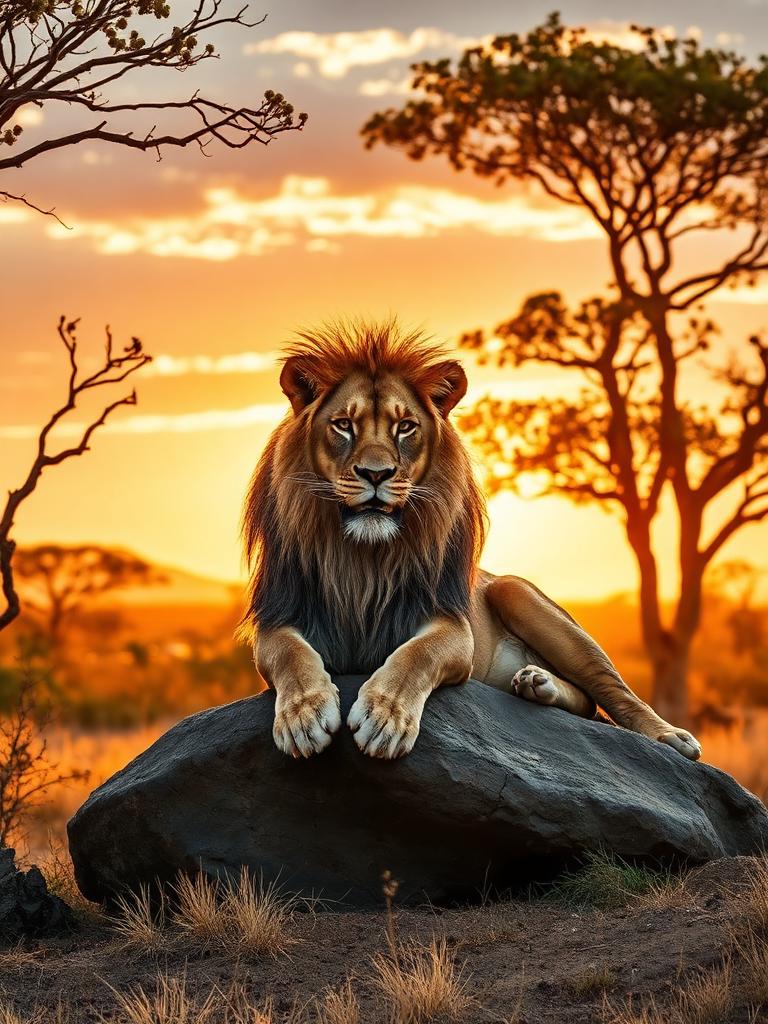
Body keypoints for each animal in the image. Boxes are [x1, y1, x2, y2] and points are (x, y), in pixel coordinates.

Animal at [241, 321, 701, 763]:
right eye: (343, 425)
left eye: (405, 427)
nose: (376, 473)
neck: (362, 558)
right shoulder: (280, 616)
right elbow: (291, 655)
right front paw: (304, 715)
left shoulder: (451, 626)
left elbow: (415, 656)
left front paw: (384, 717)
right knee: (587, 702)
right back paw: (536, 683)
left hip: (516, 592)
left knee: (609, 690)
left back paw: (668, 735)